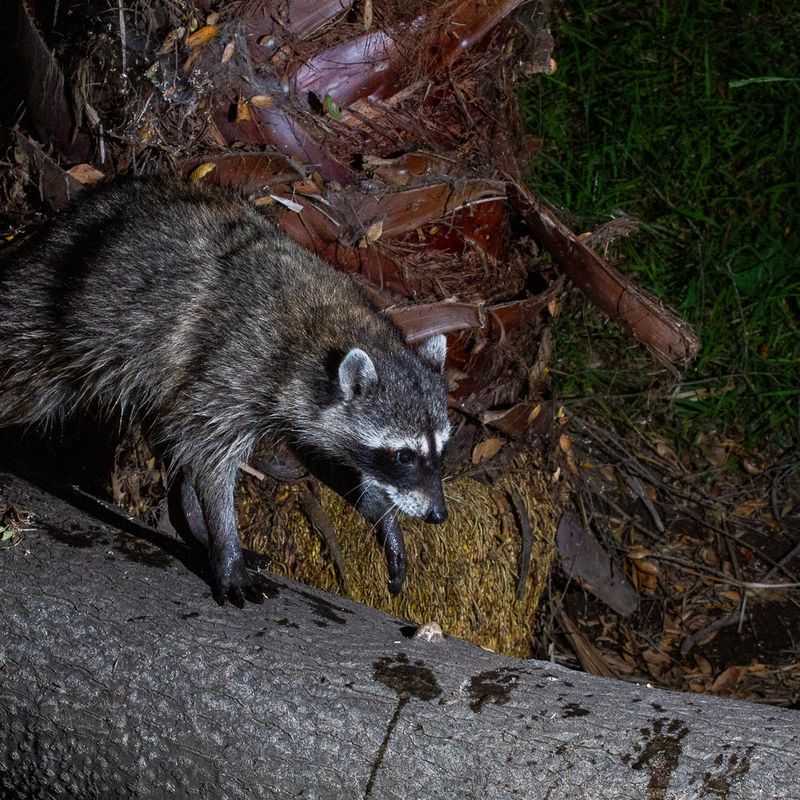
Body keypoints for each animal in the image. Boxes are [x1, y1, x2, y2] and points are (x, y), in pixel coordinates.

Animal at [0, 178, 450, 606]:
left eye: (441, 450)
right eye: (404, 455)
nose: (438, 515)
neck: (332, 326)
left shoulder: (301, 405)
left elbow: (322, 453)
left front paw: (380, 513)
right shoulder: (233, 367)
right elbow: (212, 461)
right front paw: (224, 539)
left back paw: (188, 516)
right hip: (63, 312)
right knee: (24, 369)